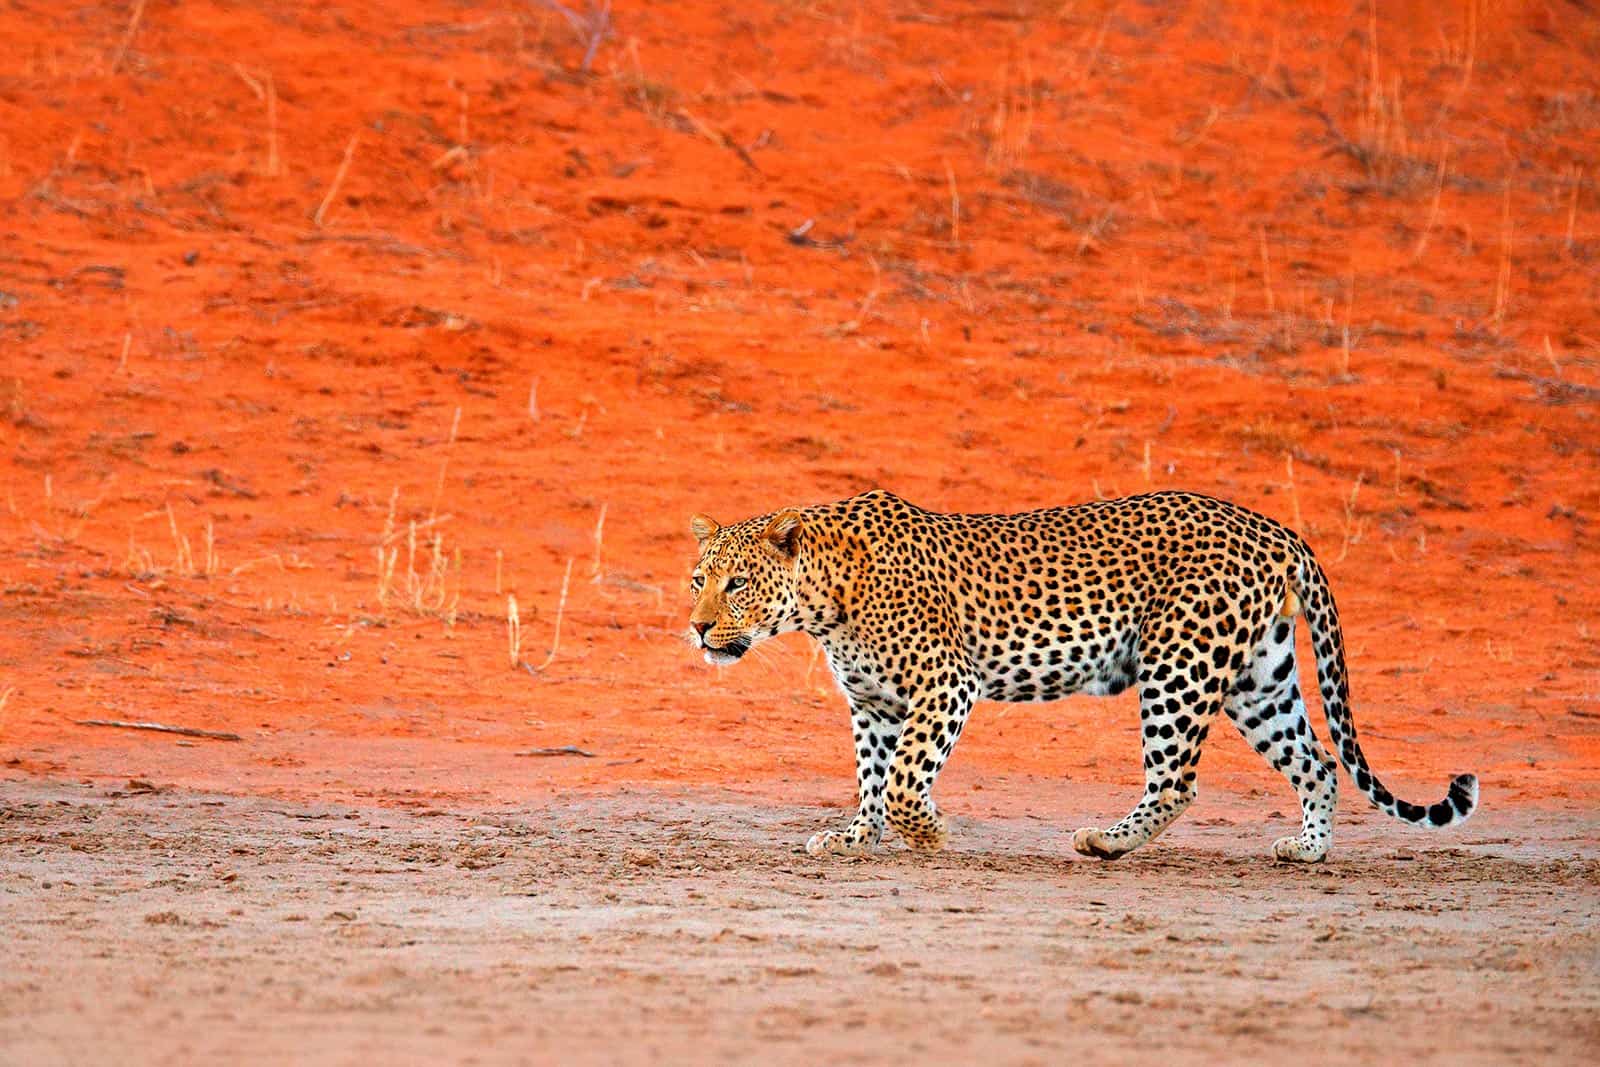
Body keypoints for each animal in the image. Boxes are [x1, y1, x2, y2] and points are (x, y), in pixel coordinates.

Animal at [681, 489, 1478, 863]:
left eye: (738, 584)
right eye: (698, 579)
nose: (696, 627)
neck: (825, 600)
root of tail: (1276, 528)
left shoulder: (946, 683)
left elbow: (906, 779)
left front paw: (932, 834)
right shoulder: (874, 705)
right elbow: (873, 780)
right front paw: (856, 838)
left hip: (1179, 664)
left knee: (1178, 781)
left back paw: (1107, 842)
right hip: (1260, 678)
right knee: (1316, 761)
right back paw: (1307, 849)